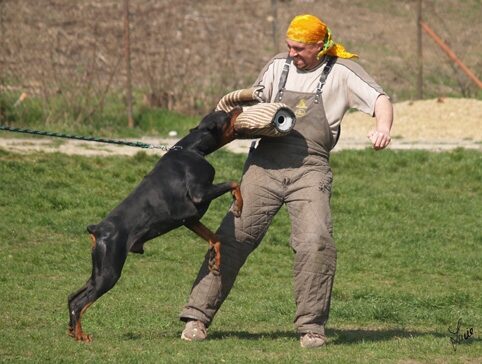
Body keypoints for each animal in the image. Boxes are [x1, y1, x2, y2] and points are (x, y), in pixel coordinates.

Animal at [66, 107, 243, 342]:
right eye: (226, 114)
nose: (239, 107)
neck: (191, 148)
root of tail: (98, 230)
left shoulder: (190, 219)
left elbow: (215, 238)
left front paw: (216, 260)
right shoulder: (199, 194)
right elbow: (234, 182)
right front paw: (238, 205)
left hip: (99, 269)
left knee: (72, 296)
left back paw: (72, 329)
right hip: (109, 273)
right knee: (80, 303)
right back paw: (80, 335)